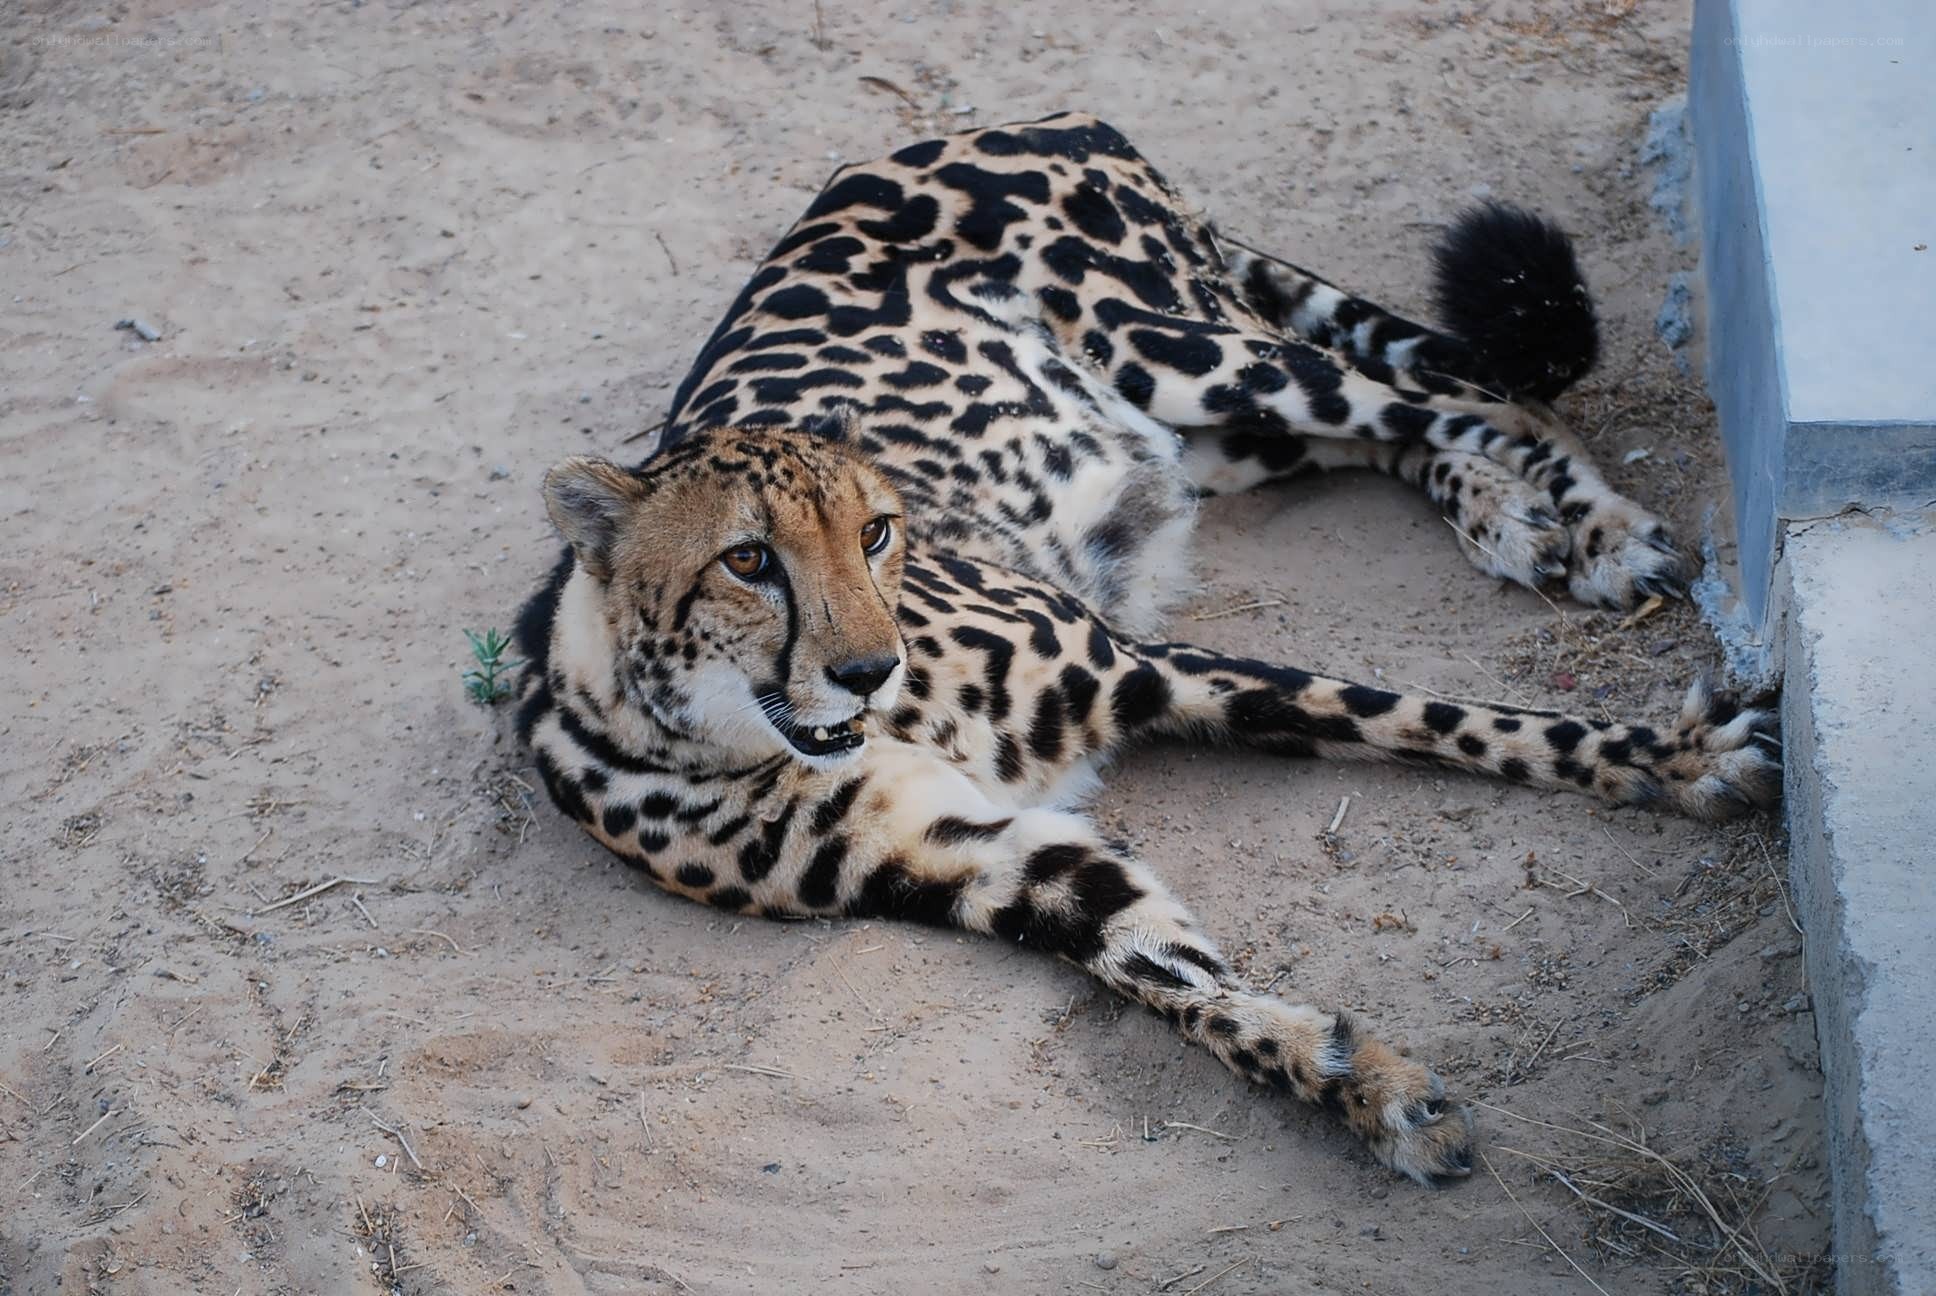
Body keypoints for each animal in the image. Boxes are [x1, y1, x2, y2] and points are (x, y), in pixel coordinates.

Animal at [512, 112, 1779, 1185]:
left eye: (874, 533)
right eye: (747, 561)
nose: (870, 669)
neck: (718, 729)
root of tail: (987, 122)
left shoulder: (1142, 667)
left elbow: (1440, 719)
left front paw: (1677, 761)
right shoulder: (991, 860)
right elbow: (1168, 976)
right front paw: (1354, 1083)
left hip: (1188, 353)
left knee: (1472, 395)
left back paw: (1597, 529)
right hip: (1210, 436)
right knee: (1413, 429)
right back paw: (1508, 514)